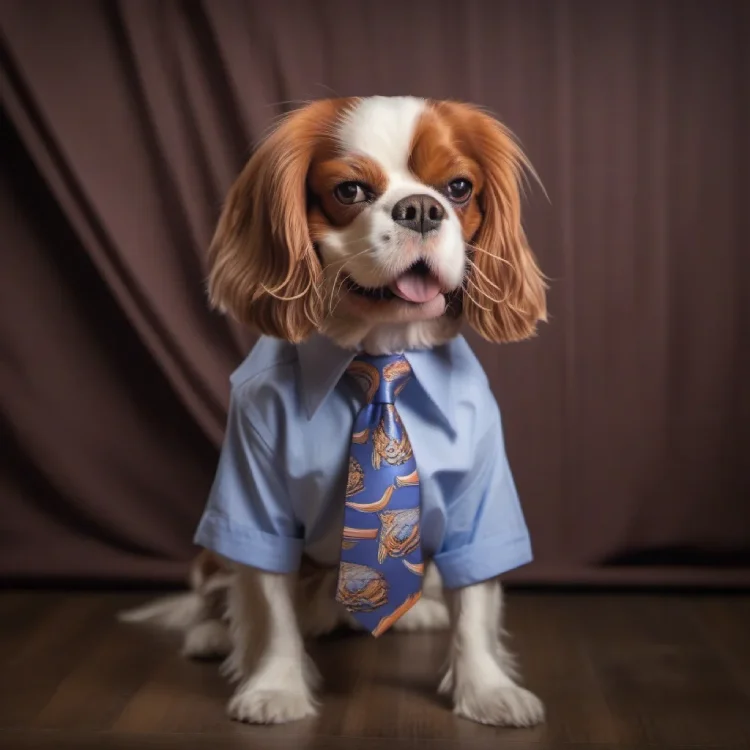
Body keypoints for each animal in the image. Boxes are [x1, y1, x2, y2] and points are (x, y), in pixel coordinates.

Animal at [122, 94, 548, 728]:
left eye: (458, 187)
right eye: (350, 191)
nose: (421, 209)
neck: (378, 353)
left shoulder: (480, 496)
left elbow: (475, 600)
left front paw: (488, 690)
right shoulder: (255, 496)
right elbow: (268, 602)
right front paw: (276, 687)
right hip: (210, 547)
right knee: (215, 591)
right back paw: (212, 635)